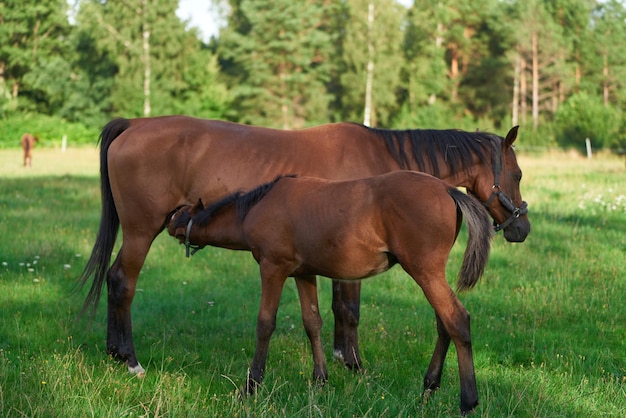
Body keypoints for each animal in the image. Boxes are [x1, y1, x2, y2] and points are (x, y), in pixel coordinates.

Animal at [77, 116, 528, 376]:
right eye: (518, 174)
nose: (521, 228)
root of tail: (133, 124)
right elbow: (349, 310)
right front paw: (355, 364)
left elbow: (334, 310)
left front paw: (340, 360)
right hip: (141, 231)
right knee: (123, 283)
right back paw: (131, 360)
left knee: (115, 280)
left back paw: (114, 352)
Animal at [166, 171, 492, 414]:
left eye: (182, 213)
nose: (169, 222)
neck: (259, 208)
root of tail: (448, 189)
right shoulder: (303, 274)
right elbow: (312, 322)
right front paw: (320, 380)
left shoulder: (273, 268)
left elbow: (265, 324)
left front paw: (251, 385)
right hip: (429, 275)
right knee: (443, 324)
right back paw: (429, 388)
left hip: (425, 272)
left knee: (457, 320)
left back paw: (467, 401)